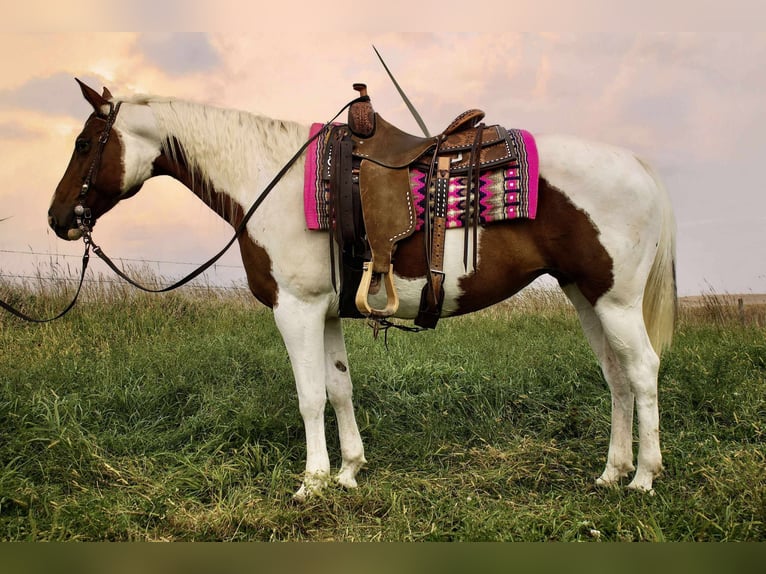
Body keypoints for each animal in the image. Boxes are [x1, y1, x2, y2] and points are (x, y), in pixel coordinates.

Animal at [48, 80, 677, 500]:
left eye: (86, 143)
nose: (58, 219)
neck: (269, 180)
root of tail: (640, 165)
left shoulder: (295, 310)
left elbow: (309, 395)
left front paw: (312, 482)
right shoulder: (325, 313)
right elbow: (339, 388)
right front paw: (349, 470)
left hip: (615, 301)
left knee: (642, 371)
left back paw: (644, 477)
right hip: (585, 296)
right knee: (616, 376)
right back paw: (612, 472)